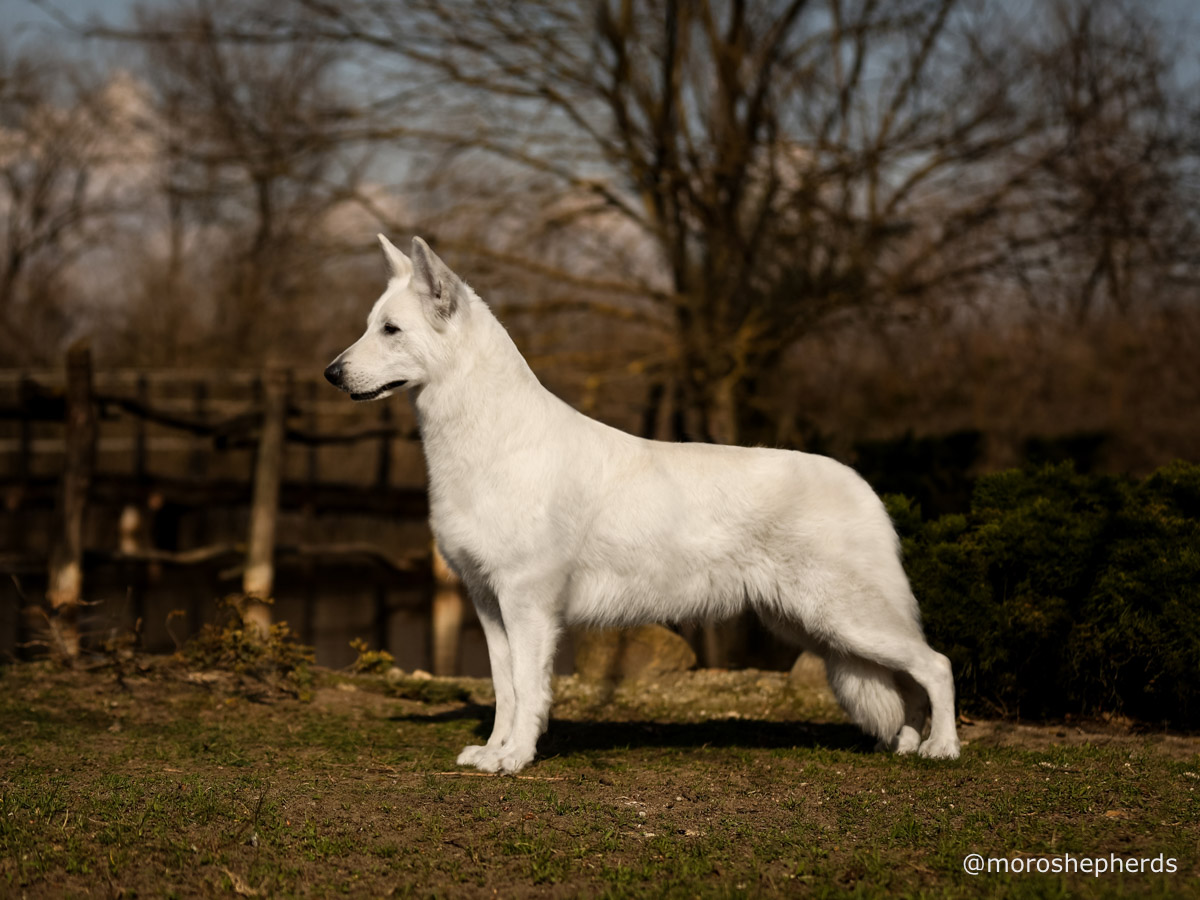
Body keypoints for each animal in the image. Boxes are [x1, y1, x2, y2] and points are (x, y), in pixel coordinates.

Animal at [324, 236, 960, 772]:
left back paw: (943, 749)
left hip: (845, 618)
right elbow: (505, 689)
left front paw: (518, 758)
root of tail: (865, 487)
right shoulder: (488, 603)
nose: (330, 373)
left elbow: (530, 690)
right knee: (904, 684)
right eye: (370, 327)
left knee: (936, 666)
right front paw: (493, 752)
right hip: (817, 625)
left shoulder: (528, 604)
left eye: (391, 330)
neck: (491, 437)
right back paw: (906, 745)